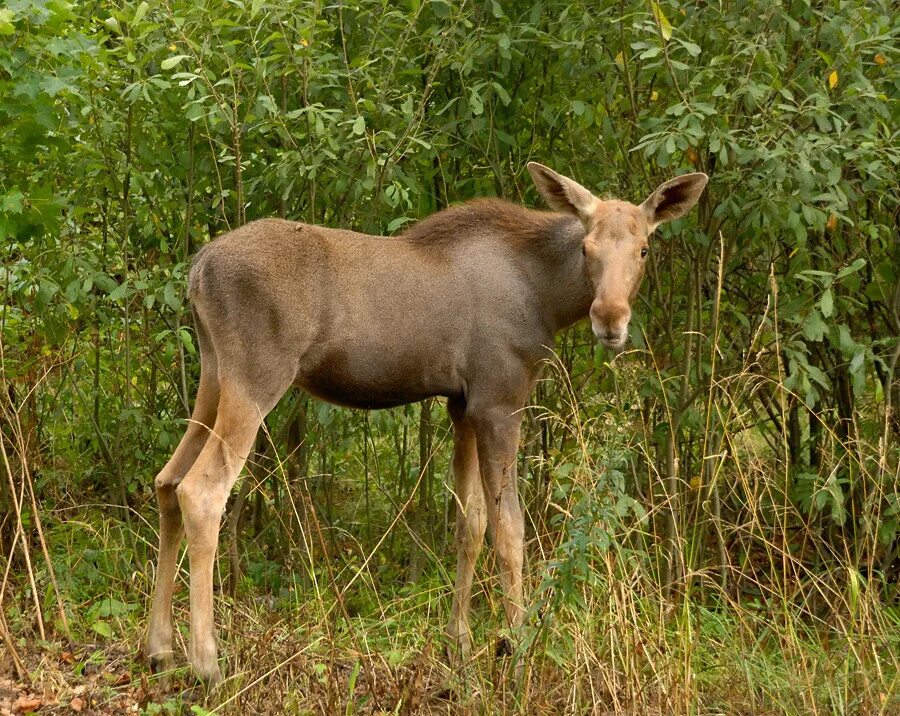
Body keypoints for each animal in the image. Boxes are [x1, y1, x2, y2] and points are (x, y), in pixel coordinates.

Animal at [144, 162, 708, 684]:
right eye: (587, 248)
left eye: (643, 250)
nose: (610, 318)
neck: (547, 297)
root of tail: (197, 269)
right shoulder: (499, 401)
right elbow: (510, 531)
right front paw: (517, 651)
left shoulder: (461, 404)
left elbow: (469, 524)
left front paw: (460, 646)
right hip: (257, 378)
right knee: (203, 490)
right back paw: (207, 662)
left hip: (214, 374)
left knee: (167, 480)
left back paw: (159, 649)